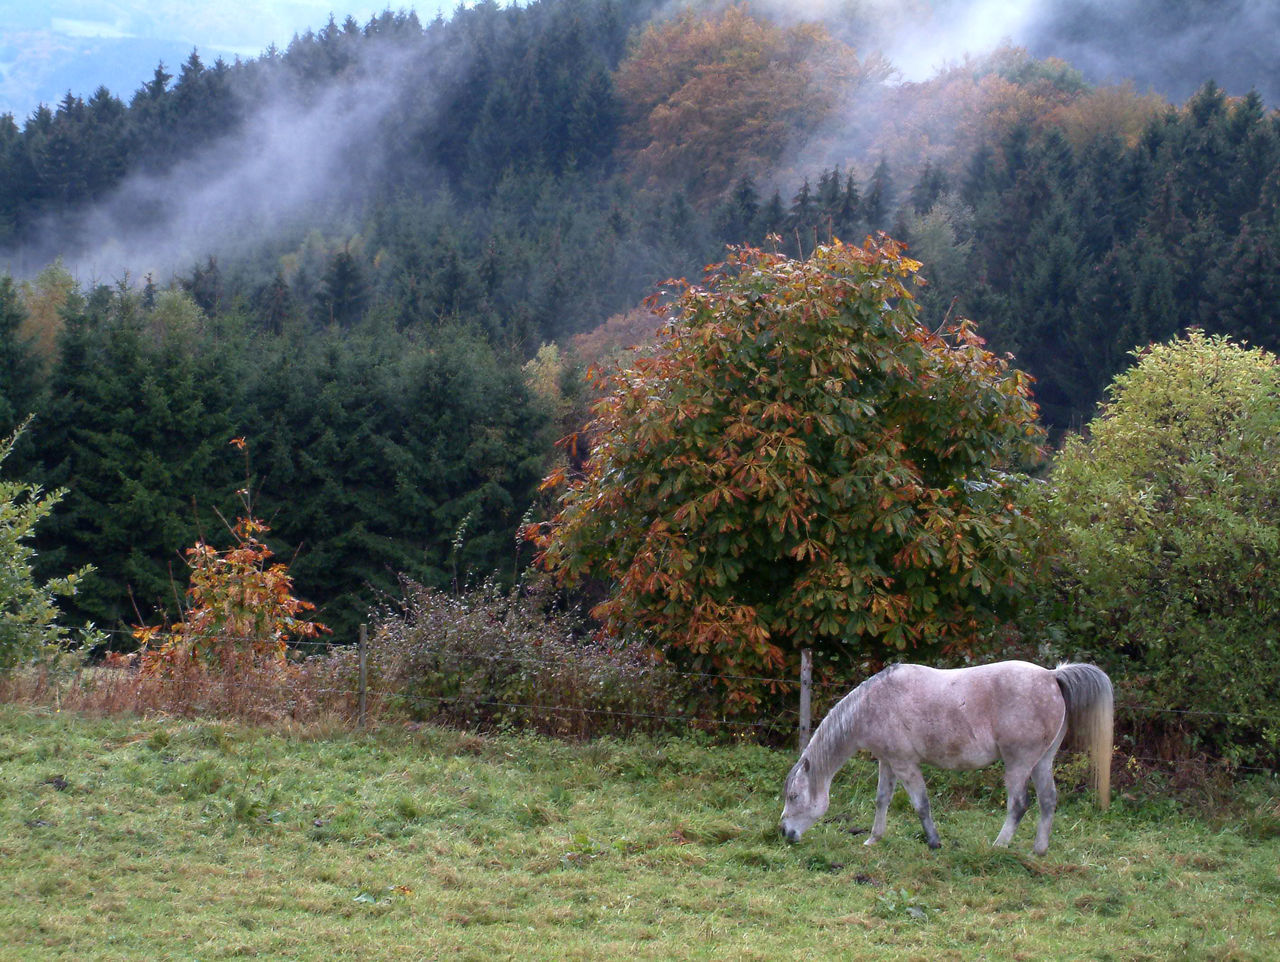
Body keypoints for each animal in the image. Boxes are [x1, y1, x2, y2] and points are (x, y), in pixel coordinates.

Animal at [773, 660, 1116, 854]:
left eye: (794, 796)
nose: (784, 833)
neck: (874, 704)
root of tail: (1053, 677)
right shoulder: (888, 762)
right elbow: (882, 800)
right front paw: (873, 839)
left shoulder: (906, 765)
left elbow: (921, 804)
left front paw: (934, 843)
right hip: (1041, 763)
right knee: (1048, 801)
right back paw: (1039, 851)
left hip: (1018, 764)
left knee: (1019, 805)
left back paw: (999, 847)